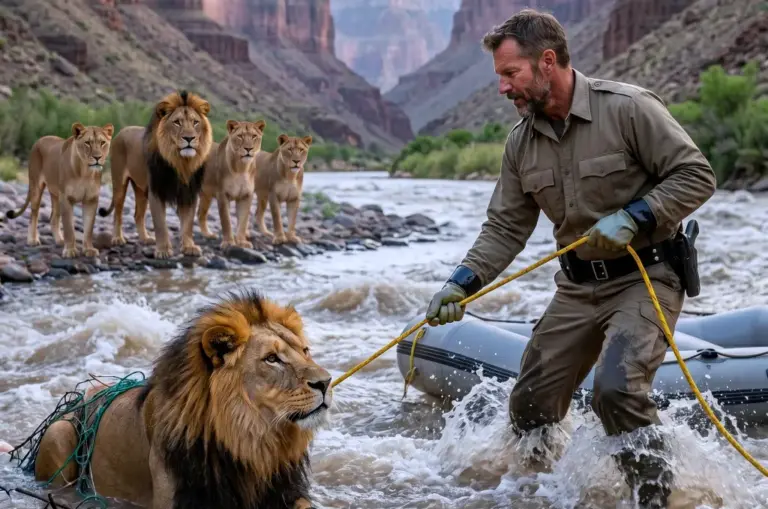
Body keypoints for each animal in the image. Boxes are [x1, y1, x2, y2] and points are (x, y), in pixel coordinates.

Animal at [5, 122, 113, 258]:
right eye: (87, 143)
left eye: (102, 142)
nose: (97, 157)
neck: (85, 172)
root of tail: (40, 139)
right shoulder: (66, 198)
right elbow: (69, 228)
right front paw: (70, 251)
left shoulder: (91, 200)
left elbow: (89, 228)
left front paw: (89, 250)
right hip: (36, 187)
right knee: (33, 214)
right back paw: (33, 240)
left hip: (56, 195)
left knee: (53, 217)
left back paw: (60, 240)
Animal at [98, 90, 213, 259]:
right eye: (177, 122)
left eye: (195, 122)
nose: (189, 138)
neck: (181, 162)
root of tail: (122, 131)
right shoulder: (156, 190)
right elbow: (160, 224)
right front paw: (163, 250)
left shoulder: (189, 193)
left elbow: (188, 223)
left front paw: (189, 247)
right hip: (119, 184)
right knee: (117, 213)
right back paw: (118, 238)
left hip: (140, 189)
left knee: (138, 215)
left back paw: (145, 238)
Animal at [196, 119, 266, 249]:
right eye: (240, 136)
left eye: (254, 136)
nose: (248, 148)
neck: (242, 168)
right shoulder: (222, 195)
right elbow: (226, 221)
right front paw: (229, 242)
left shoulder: (246, 196)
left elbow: (243, 222)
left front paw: (242, 242)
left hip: (206, 195)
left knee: (200, 214)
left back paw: (208, 235)